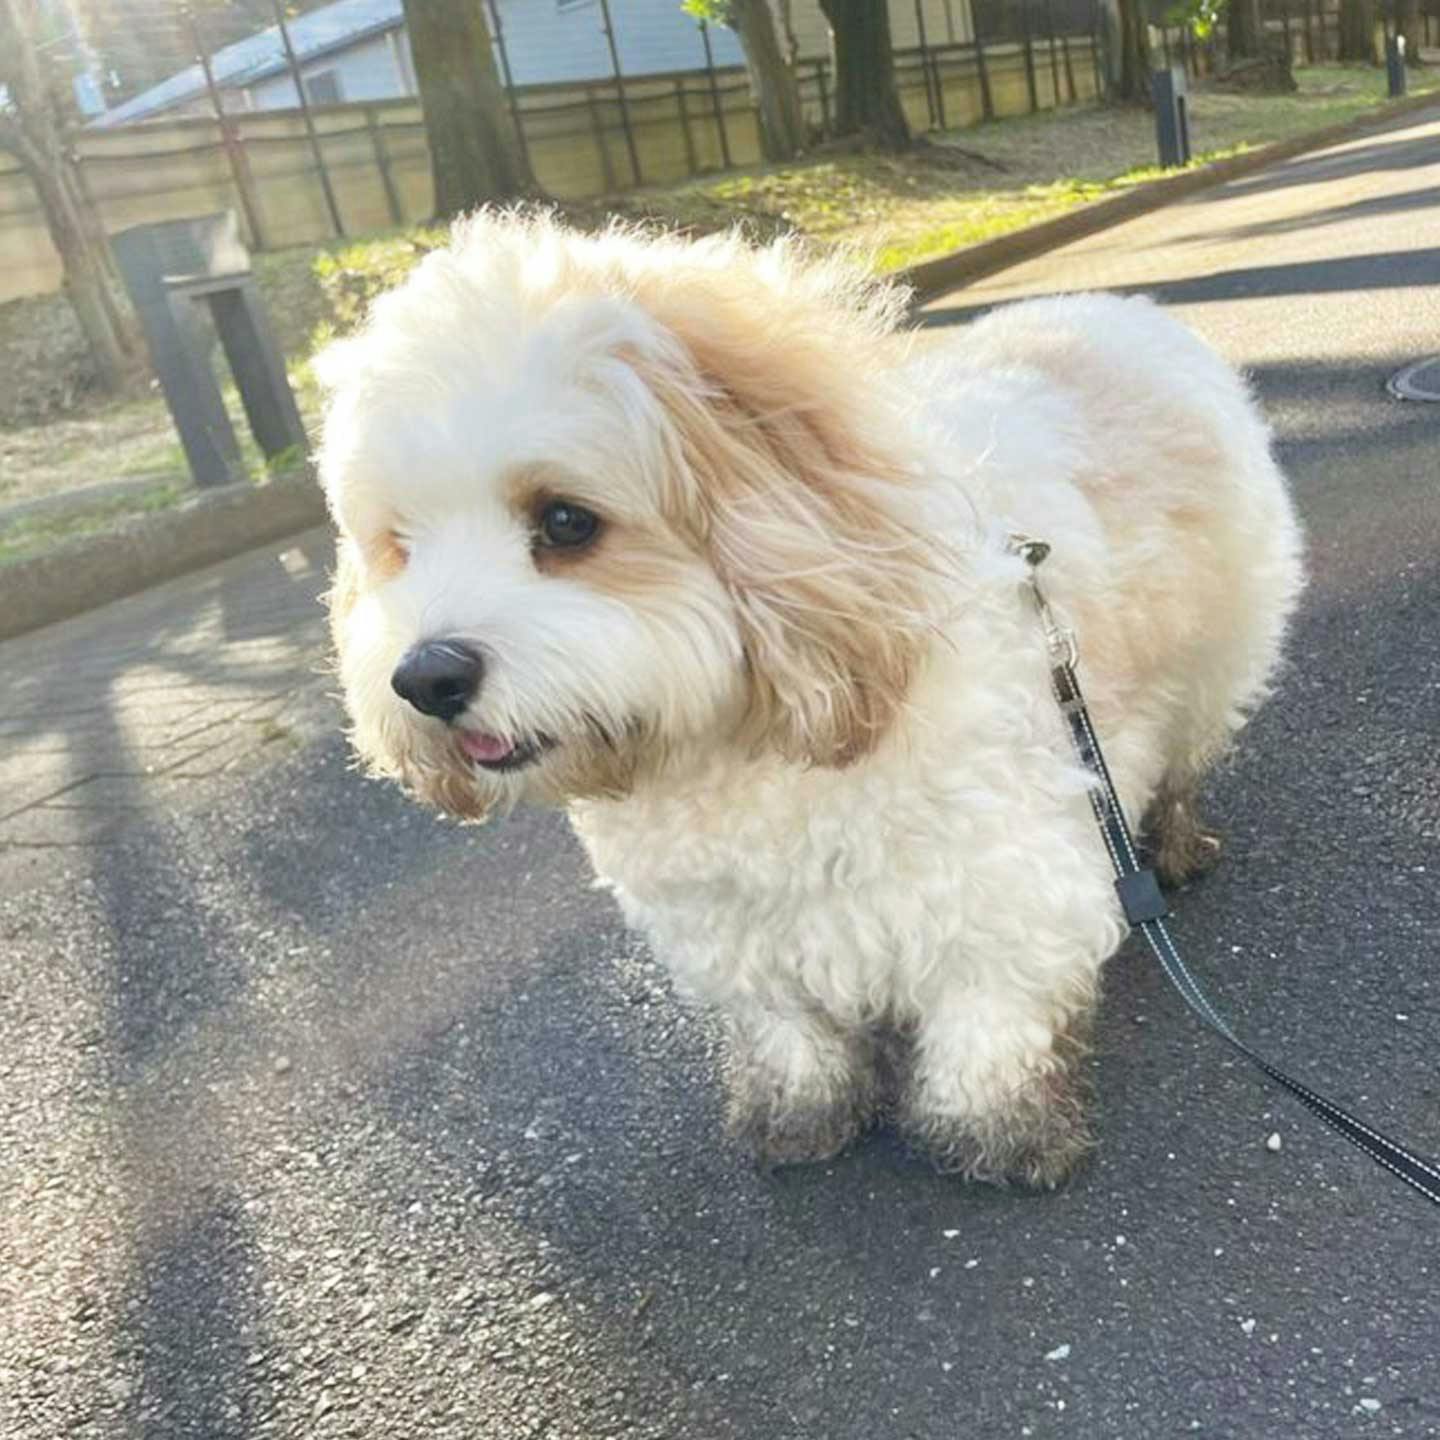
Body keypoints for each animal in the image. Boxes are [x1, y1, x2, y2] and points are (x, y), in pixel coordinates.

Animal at [324, 210, 1307, 1180]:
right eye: (399, 545)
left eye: (566, 521)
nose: (425, 677)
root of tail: (1112, 306)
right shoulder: (731, 925)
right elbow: (786, 1027)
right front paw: (802, 1111)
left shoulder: (1004, 882)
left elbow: (984, 1017)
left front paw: (996, 1123)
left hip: (1211, 670)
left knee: (1180, 765)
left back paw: (1173, 844)